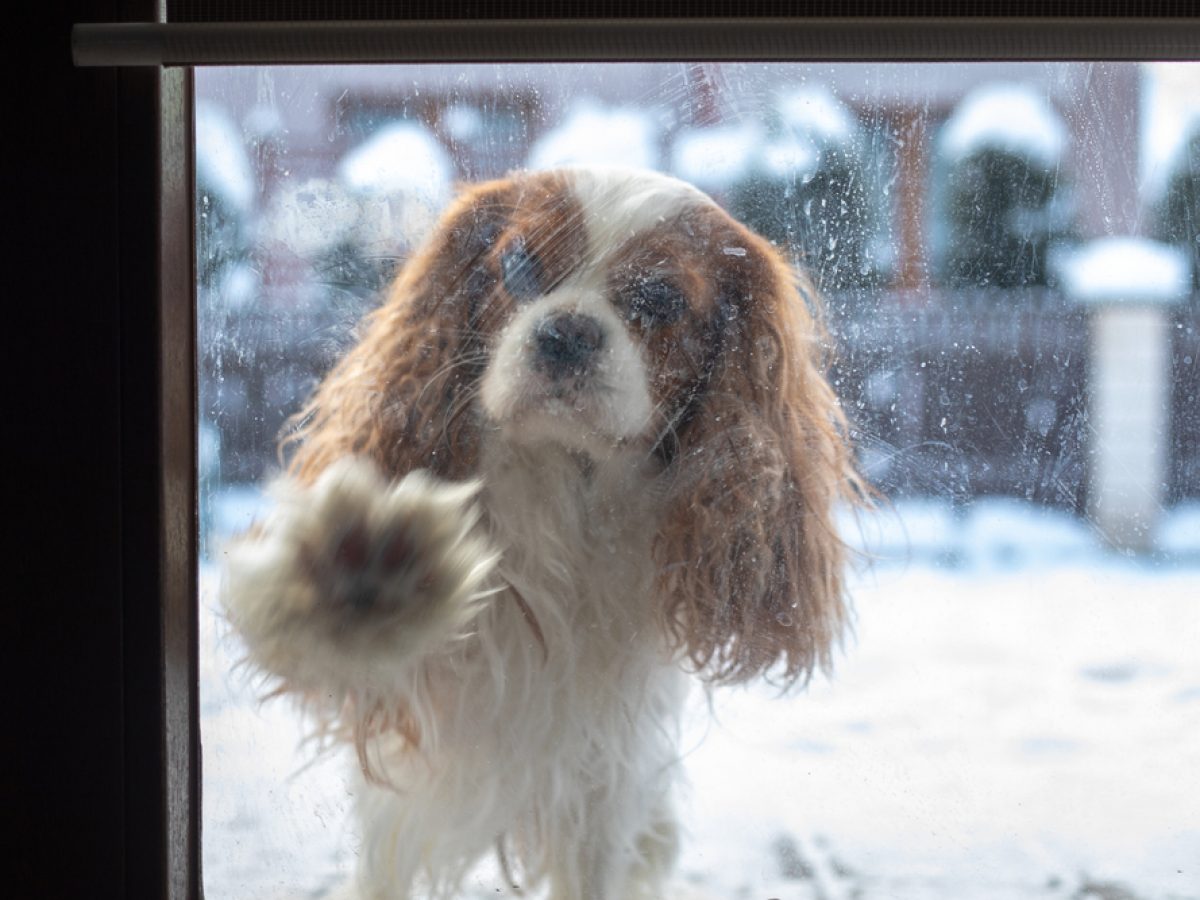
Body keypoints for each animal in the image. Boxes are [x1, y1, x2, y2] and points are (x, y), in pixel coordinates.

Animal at [223, 165, 864, 897]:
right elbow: (309, 639)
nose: (568, 331)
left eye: (661, 299)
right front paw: (362, 571)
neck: (565, 493)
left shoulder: (600, 782)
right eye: (520, 267)